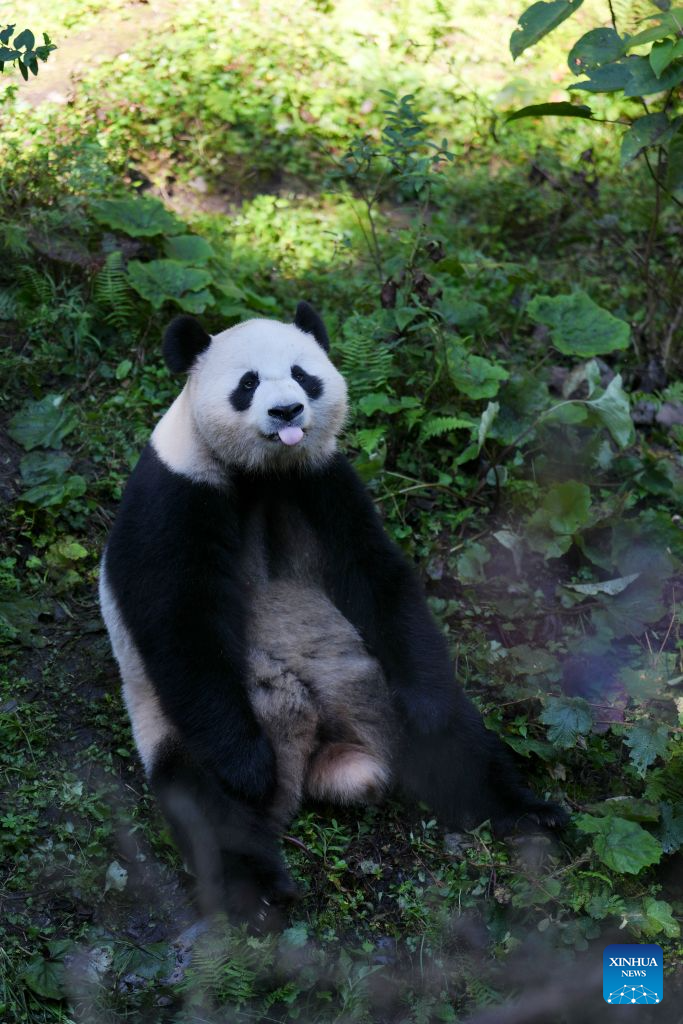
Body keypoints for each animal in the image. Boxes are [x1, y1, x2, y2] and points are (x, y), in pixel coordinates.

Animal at [100, 301, 565, 924]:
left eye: (303, 375)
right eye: (247, 384)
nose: (287, 410)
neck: (261, 473)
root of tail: (323, 751)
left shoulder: (323, 481)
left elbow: (377, 577)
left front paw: (427, 705)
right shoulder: (175, 494)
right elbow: (179, 625)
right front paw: (248, 764)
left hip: (373, 690)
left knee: (460, 744)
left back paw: (528, 812)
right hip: (174, 730)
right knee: (209, 810)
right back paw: (261, 888)